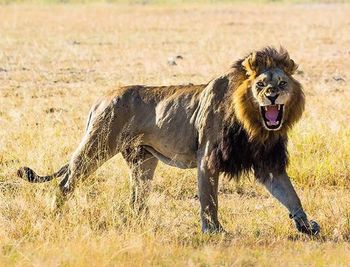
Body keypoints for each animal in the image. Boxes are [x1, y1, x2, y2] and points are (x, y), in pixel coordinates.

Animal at [18, 47, 320, 236]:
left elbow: (291, 195)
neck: (254, 125)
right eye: (260, 85)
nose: (271, 96)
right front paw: (214, 232)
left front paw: (306, 226)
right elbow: (209, 200)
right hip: (97, 147)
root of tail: (101, 97)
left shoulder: (268, 163)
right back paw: (55, 214)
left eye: (282, 83)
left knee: (137, 201)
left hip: (143, 161)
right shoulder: (207, 158)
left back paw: (140, 225)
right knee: (65, 182)